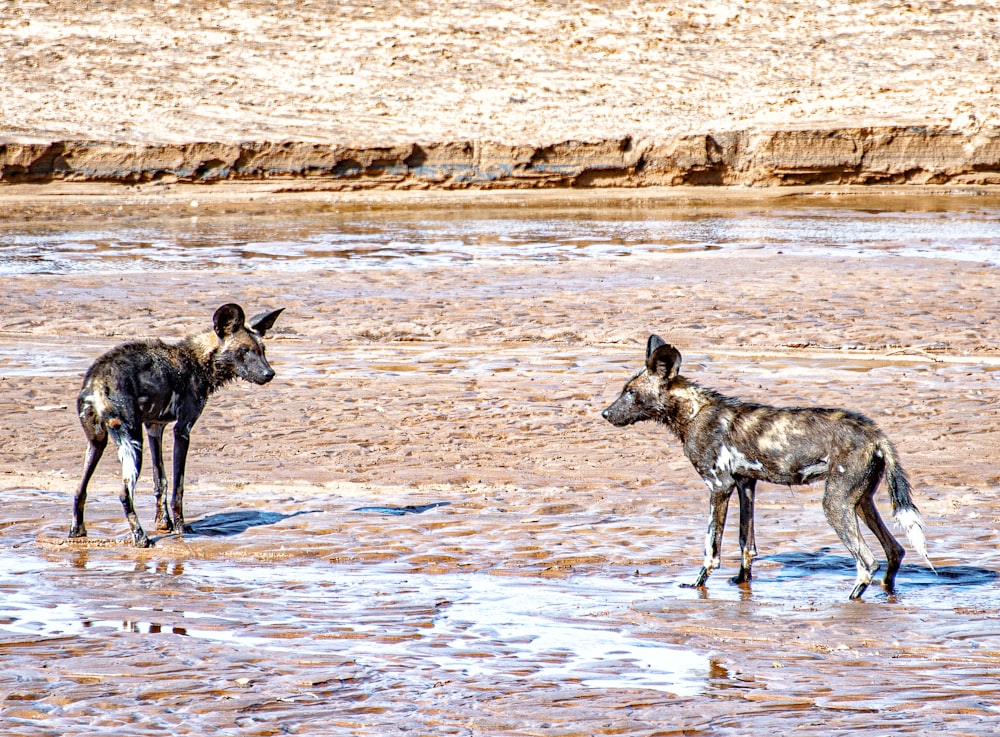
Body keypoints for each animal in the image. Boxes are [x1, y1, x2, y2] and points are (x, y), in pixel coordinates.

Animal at [71, 304, 284, 548]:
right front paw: (181, 528)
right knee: (125, 494)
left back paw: (77, 531)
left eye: (262, 350)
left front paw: (164, 523)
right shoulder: (182, 430)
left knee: (80, 489)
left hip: (98, 443)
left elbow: (160, 481)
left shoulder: (154, 428)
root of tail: (97, 379)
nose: (270, 374)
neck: (198, 361)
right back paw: (141, 538)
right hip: (133, 442)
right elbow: (178, 488)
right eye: (245, 350)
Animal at [600, 334, 936, 600]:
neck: (692, 411)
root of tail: (876, 434)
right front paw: (741, 581)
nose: (604, 413)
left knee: (867, 562)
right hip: (862, 502)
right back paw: (888, 592)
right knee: (895, 550)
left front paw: (698, 584)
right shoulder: (745, 484)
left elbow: (711, 547)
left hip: (835, 504)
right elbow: (745, 542)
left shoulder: (718, 487)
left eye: (630, 393)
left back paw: (852, 598)